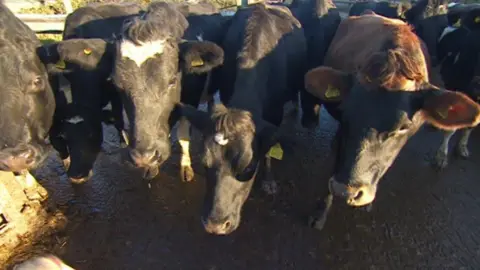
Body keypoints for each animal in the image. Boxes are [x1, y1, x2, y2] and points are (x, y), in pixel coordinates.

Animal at [42, 1, 227, 181]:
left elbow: (183, 135)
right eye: (117, 84)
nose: (144, 157)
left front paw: (185, 166)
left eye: (172, 81)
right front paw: (151, 166)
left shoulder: (191, 98)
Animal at [177, 3, 308, 234]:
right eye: (204, 163)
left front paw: (268, 181)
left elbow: (269, 149)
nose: (215, 225)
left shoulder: (274, 114)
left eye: (247, 168)